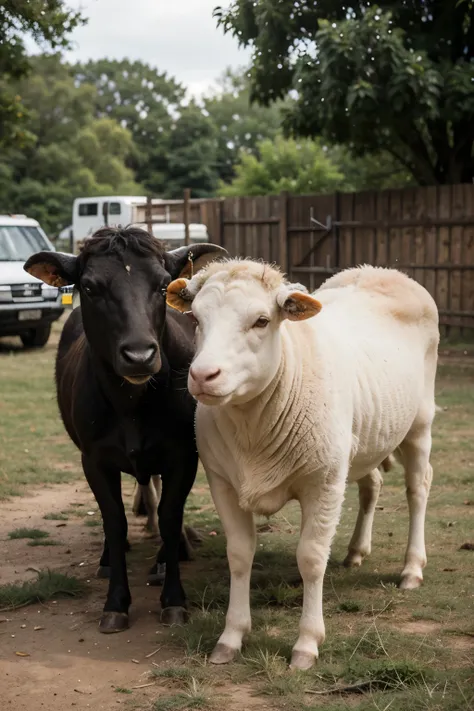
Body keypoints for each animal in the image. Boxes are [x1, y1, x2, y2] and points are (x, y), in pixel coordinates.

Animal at [24, 229, 226, 636]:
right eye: (89, 287)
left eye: (162, 285)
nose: (139, 355)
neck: (131, 405)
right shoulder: (94, 460)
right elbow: (114, 521)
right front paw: (116, 602)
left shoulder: (183, 455)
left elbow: (170, 516)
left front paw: (173, 597)